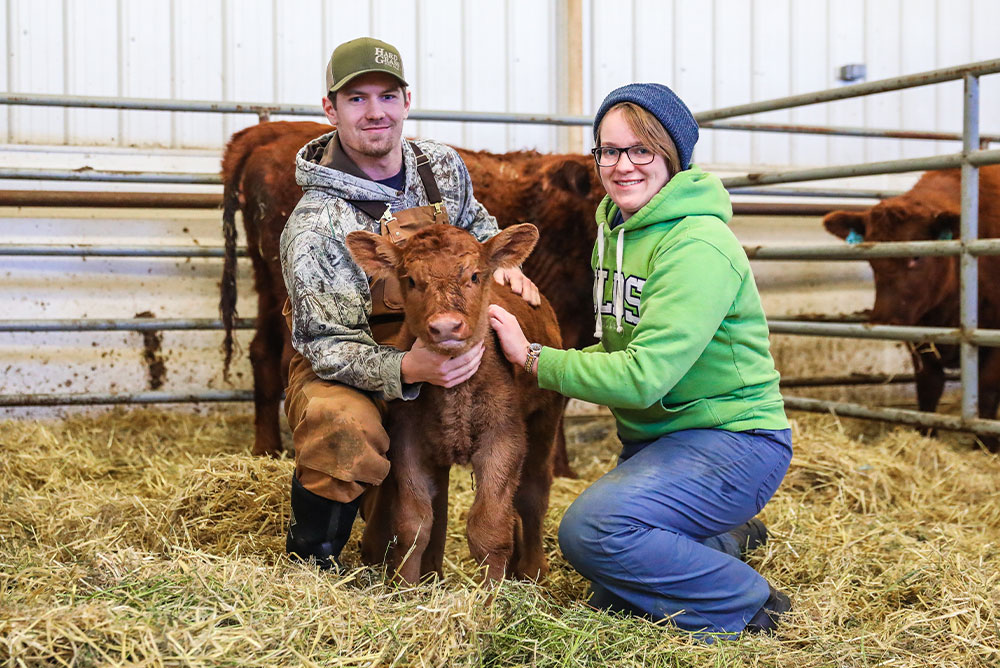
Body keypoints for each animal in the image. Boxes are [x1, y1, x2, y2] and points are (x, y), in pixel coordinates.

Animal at [344, 222, 564, 580]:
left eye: (474, 276)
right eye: (410, 280)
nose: (446, 326)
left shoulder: (504, 437)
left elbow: (488, 526)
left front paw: (493, 594)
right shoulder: (408, 440)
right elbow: (413, 524)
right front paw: (405, 587)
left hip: (545, 419)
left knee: (532, 495)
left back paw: (532, 569)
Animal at [820, 164, 1000, 452]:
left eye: (917, 256)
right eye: (871, 258)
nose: (884, 320)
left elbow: (987, 390)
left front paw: (985, 445)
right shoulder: (918, 337)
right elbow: (928, 386)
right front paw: (926, 434)